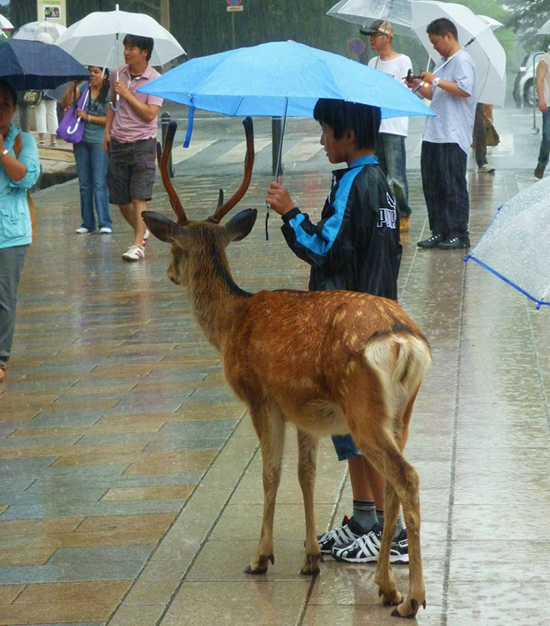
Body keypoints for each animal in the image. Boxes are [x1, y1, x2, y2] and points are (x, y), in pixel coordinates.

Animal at [143, 118, 436, 620]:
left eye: (175, 250)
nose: (169, 273)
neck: (231, 323)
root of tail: (404, 340)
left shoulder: (261, 396)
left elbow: (271, 473)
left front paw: (262, 557)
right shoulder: (305, 411)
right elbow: (306, 474)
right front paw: (310, 557)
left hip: (363, 409)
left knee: (407, 478)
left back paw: (410, 598)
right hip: (402, 412)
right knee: (393, 485)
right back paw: (385, 586)